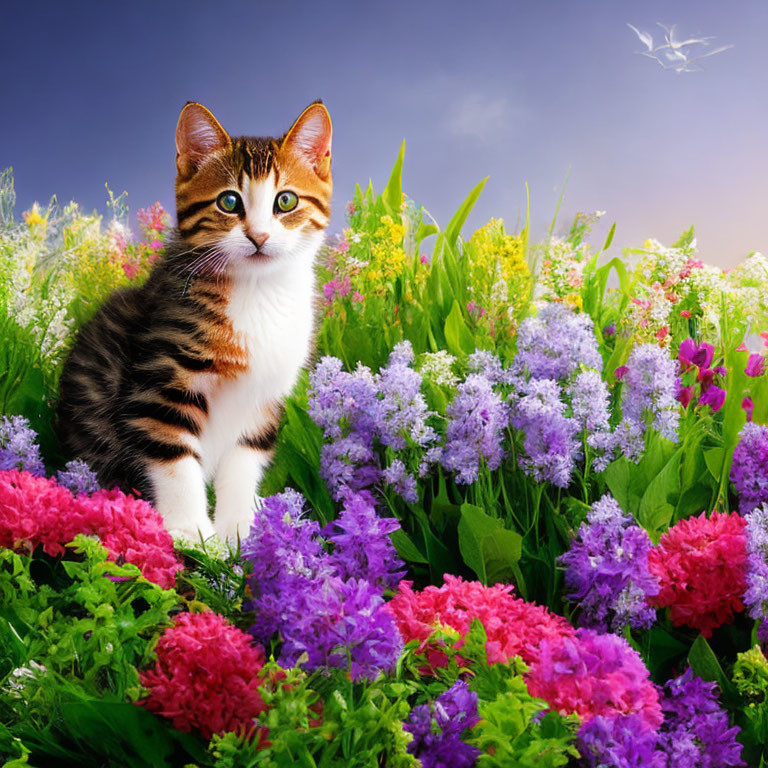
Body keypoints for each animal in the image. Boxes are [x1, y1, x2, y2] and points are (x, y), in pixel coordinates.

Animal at [54, 100, 330, 540]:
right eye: (229, 202)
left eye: (285, 201)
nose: (259, 236)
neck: (256, 290)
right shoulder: (161, 377)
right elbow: (172, 453)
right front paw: (191, 533)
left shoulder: (264, 397)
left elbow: (244, 461)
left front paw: (242, 531)